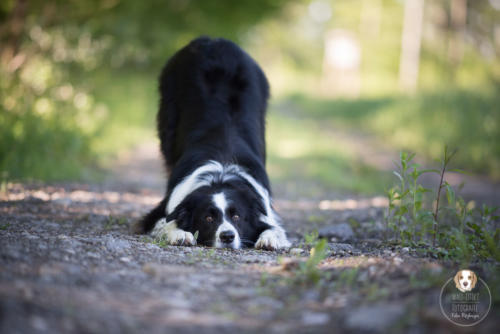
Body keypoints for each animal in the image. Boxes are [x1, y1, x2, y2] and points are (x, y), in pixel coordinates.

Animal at [139, 37, 292, 250]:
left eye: (237, 216)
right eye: (208, 218)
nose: (227, 236)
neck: (220, 174)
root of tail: (212, 40)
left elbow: (274, 228)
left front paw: (269, 238)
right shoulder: (161, 211)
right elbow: (167, 222)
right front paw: (181, 234)